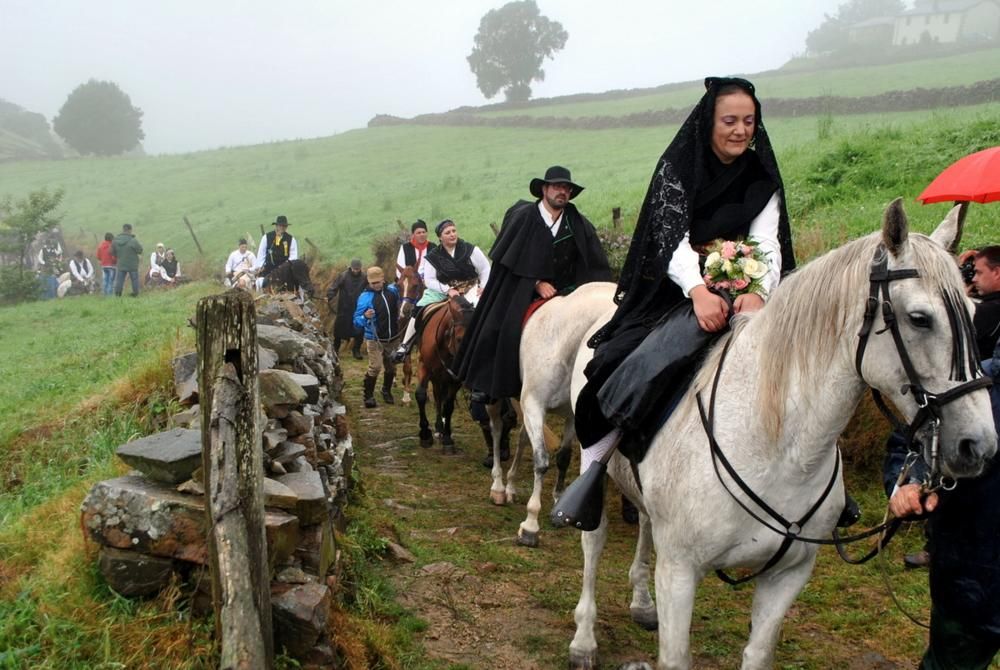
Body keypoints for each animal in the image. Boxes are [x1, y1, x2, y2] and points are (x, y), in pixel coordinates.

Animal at [414, 296, 476, 454]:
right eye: (460, 339)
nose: (467, 369)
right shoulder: (424, 366)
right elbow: (421, 395)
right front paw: (425, 435)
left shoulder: (454, 378)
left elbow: (448, 405)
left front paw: (447, 439)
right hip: (436, 376)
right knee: (437, 397)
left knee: (439, 398)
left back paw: (440, 429)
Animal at [484, 280, 616, 548]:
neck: (565, 341)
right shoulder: (534, 405)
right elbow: (542, 461)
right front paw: (530, 525)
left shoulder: (573, 415)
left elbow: (563, 457)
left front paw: (559, 503)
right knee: (496, 428)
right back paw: (499, 486)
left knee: (523, 438)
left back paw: (511, 486)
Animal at [568, 201, 996, 670]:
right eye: (920, 319)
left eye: (975, 314)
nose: (978, 444)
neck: (777, 450)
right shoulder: (679, 572)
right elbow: (676, 657)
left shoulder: (788, 575)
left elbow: (758, 653)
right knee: (592, 544)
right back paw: (584, 640)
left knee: (645, 522)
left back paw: (642, 602)